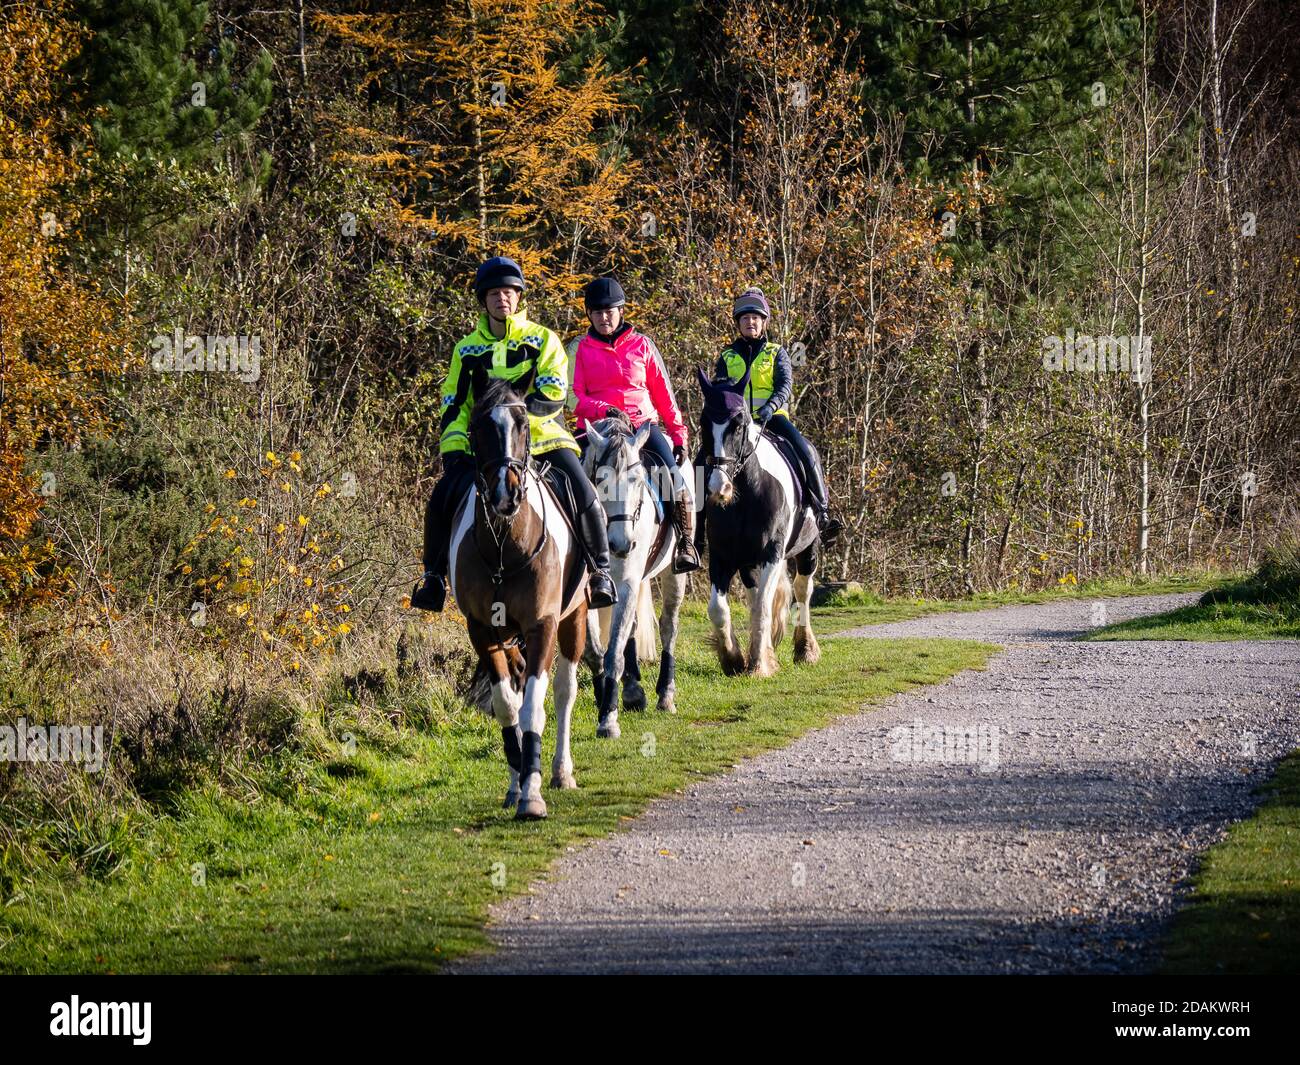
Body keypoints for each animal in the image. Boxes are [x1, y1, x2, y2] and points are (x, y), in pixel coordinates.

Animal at [448, 370, 588, 820]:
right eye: (478, 426)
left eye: (524, 424)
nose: (505, 493)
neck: (504, 546)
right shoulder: (482, 630)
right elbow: (507, 705)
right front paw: (517, 785)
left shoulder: (542, 625)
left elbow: (534, 708)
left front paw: (533, 795)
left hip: (574, 617)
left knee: (563, 692)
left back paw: (560, 772)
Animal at [581, 411, 687, 739]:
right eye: (599, 480)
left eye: (637, 480)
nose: (621, 544)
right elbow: (594, 650)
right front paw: (605, 698)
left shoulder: (626, 582)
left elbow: (613, 652)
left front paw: (608, 719)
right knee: (632, 629)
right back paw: (631, 692)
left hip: (674, 574)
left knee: (668, 627)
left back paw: (665, 695)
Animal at [695, 366, 820, 677]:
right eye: (704, 423)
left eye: (739, 424)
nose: (719, 488)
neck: (747, 495)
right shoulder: (722, 557)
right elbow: (718, 609)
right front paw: (733, 658)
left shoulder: (771, 555)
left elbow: (764, 607)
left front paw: (758, 667)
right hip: (748, 563)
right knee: (755, 598)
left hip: (808, 548)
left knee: (802, 589)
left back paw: (805, 650)